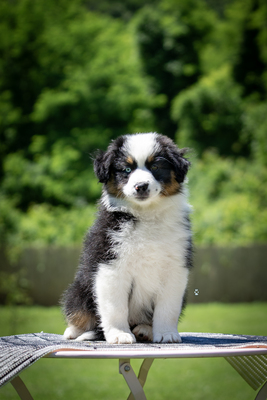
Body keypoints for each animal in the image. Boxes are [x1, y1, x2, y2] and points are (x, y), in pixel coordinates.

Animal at [62, 132, 193, 344]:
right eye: (127, 169)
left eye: (155, 167)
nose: (141, 186)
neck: (147, 214)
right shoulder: (111, 264)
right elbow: (116, 308)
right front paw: (119, 334)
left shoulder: (175, 267)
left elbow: (168, 307)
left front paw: (166, 334)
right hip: (79, 289)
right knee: (79, 311)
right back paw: (74, 331)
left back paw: (145, 330)